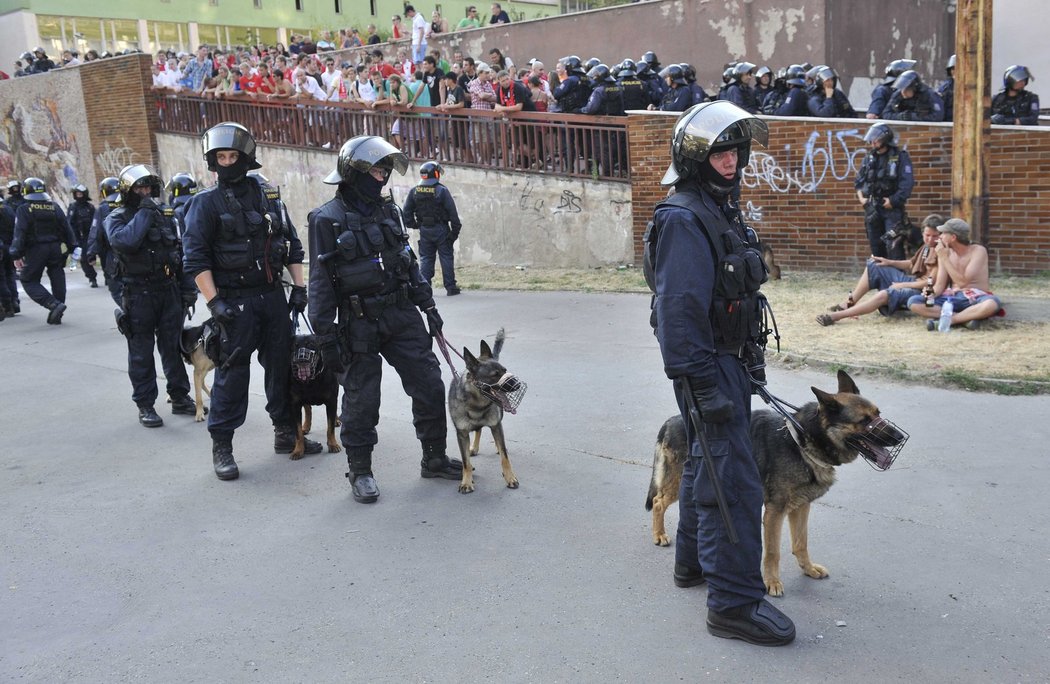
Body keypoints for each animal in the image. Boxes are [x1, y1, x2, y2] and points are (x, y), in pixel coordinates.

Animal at [447, 329, 525, 495]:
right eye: (495, 375)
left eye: (505, 371)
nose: (517, 384)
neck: (477, 404)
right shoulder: (461, 434)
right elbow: (465, 462)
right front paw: (466, 481)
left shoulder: (496, 425)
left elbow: (505, 457)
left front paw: (510, 477)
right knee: (478, 429)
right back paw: (474, 447)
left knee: (491, 436)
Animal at [642, 371, 907, 596]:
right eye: (864, 421)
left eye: (878, 414)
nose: (900, 437)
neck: (802, 440)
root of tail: (671, 421)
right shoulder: (774, 512)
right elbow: (772, 552)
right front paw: (772, 583)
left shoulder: (801, 506)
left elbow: (801, 543)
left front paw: (808, 569)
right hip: (679, 482)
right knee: (658, 501)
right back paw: (659, 535)